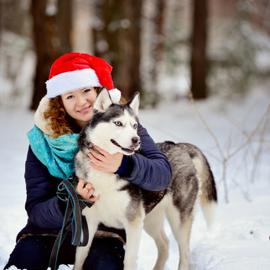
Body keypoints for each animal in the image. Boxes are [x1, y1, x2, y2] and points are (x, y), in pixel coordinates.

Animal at [74, 90, 217, 270]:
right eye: (118, 123)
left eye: (135, 126)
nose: (137, 140)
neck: (105, 174)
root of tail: (180, 146)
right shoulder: (89, 222)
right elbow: (79, 259)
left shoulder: (133, 223)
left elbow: (129, 260)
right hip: (151, 219)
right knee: (164, 244)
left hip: (178, 219)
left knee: (184, 253)